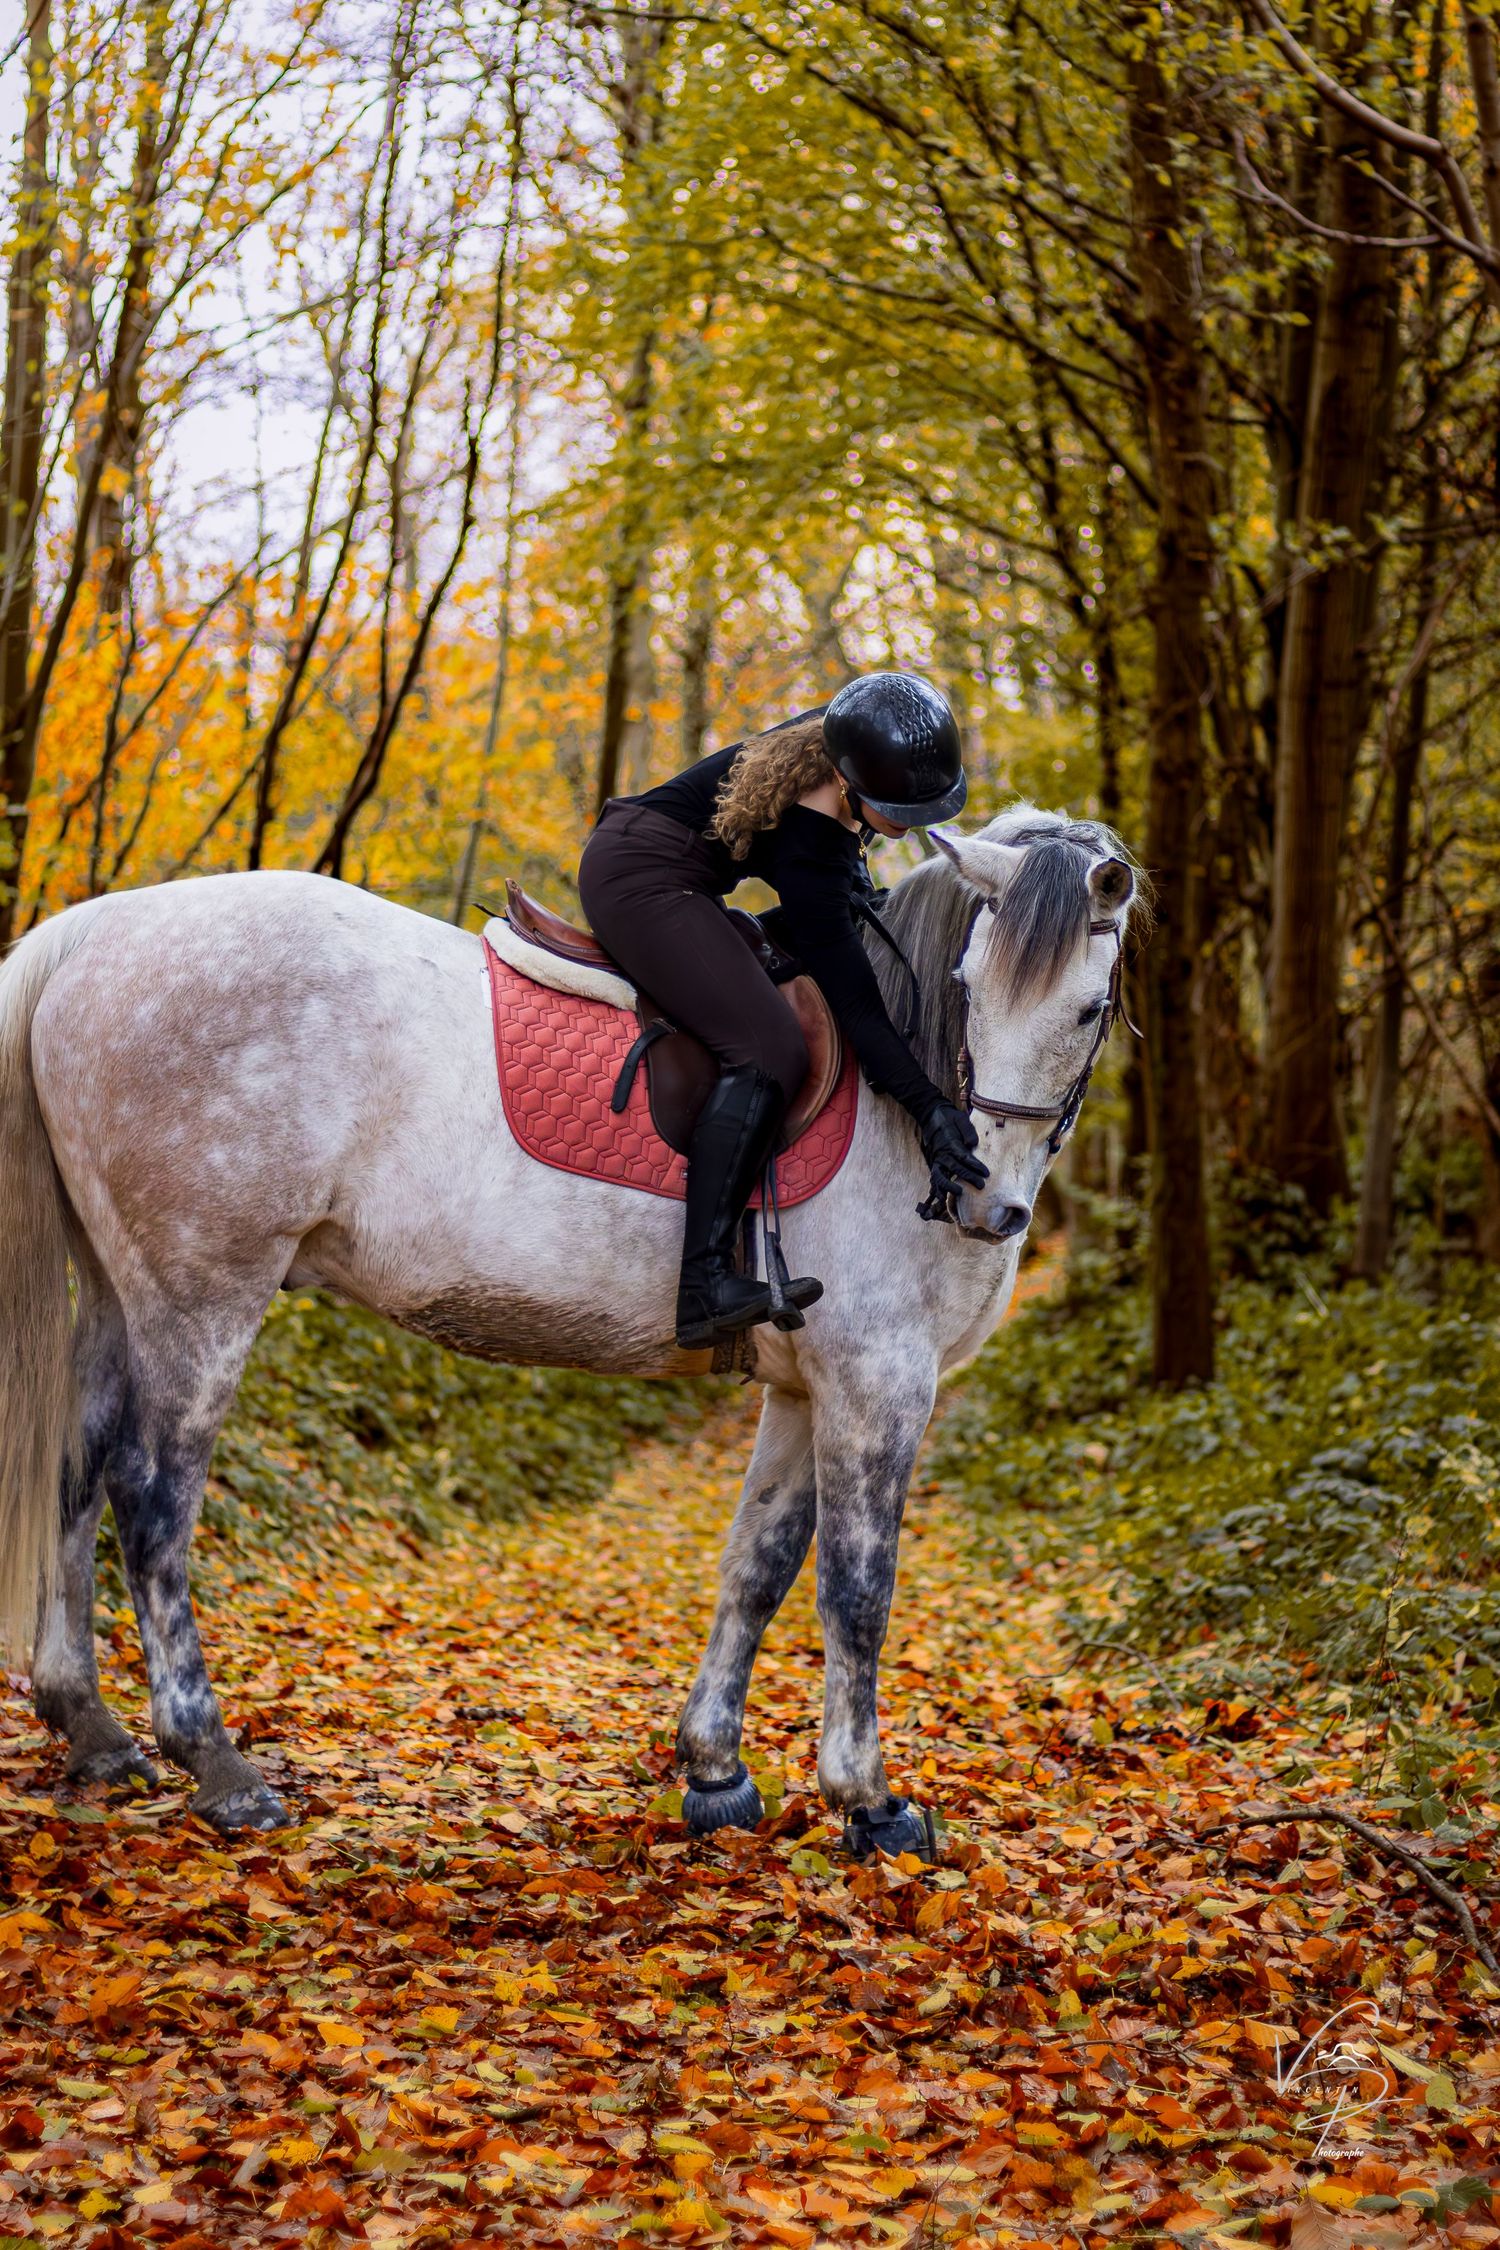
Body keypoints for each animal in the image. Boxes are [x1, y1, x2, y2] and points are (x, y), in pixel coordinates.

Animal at [0, 804, 1138, 1844]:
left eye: (1087, 1010)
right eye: (965, 989)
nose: (986, 1200)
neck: (897, 1108)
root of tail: (88, 935)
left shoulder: (802, 1387)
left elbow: (759, 1565)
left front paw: (715, 1771)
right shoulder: (879, 1381)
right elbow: (857, 1587)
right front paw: (868, 1799)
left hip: (121, 1292)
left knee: (75, 1469)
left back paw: (92, 1729)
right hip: (203, 1296)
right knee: (151, 1499)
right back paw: (218, 1766)